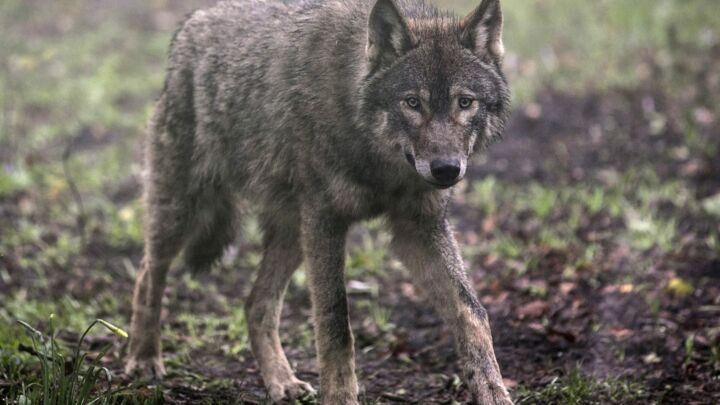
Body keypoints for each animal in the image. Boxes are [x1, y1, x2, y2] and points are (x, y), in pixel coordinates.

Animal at [124, 0, 512, 403]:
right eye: (412, 103)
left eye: (464, 102)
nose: (446, 169)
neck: (379, 163)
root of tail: (195, 20)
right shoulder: (326, 222)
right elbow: (335, 323)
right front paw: (340, 396)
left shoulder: (418, 229)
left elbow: (472, 313)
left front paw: (493, 391)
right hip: (184, 212)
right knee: (148, 271)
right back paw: (143, 359)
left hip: (293, 233)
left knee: (255, 303)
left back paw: (281, 380)